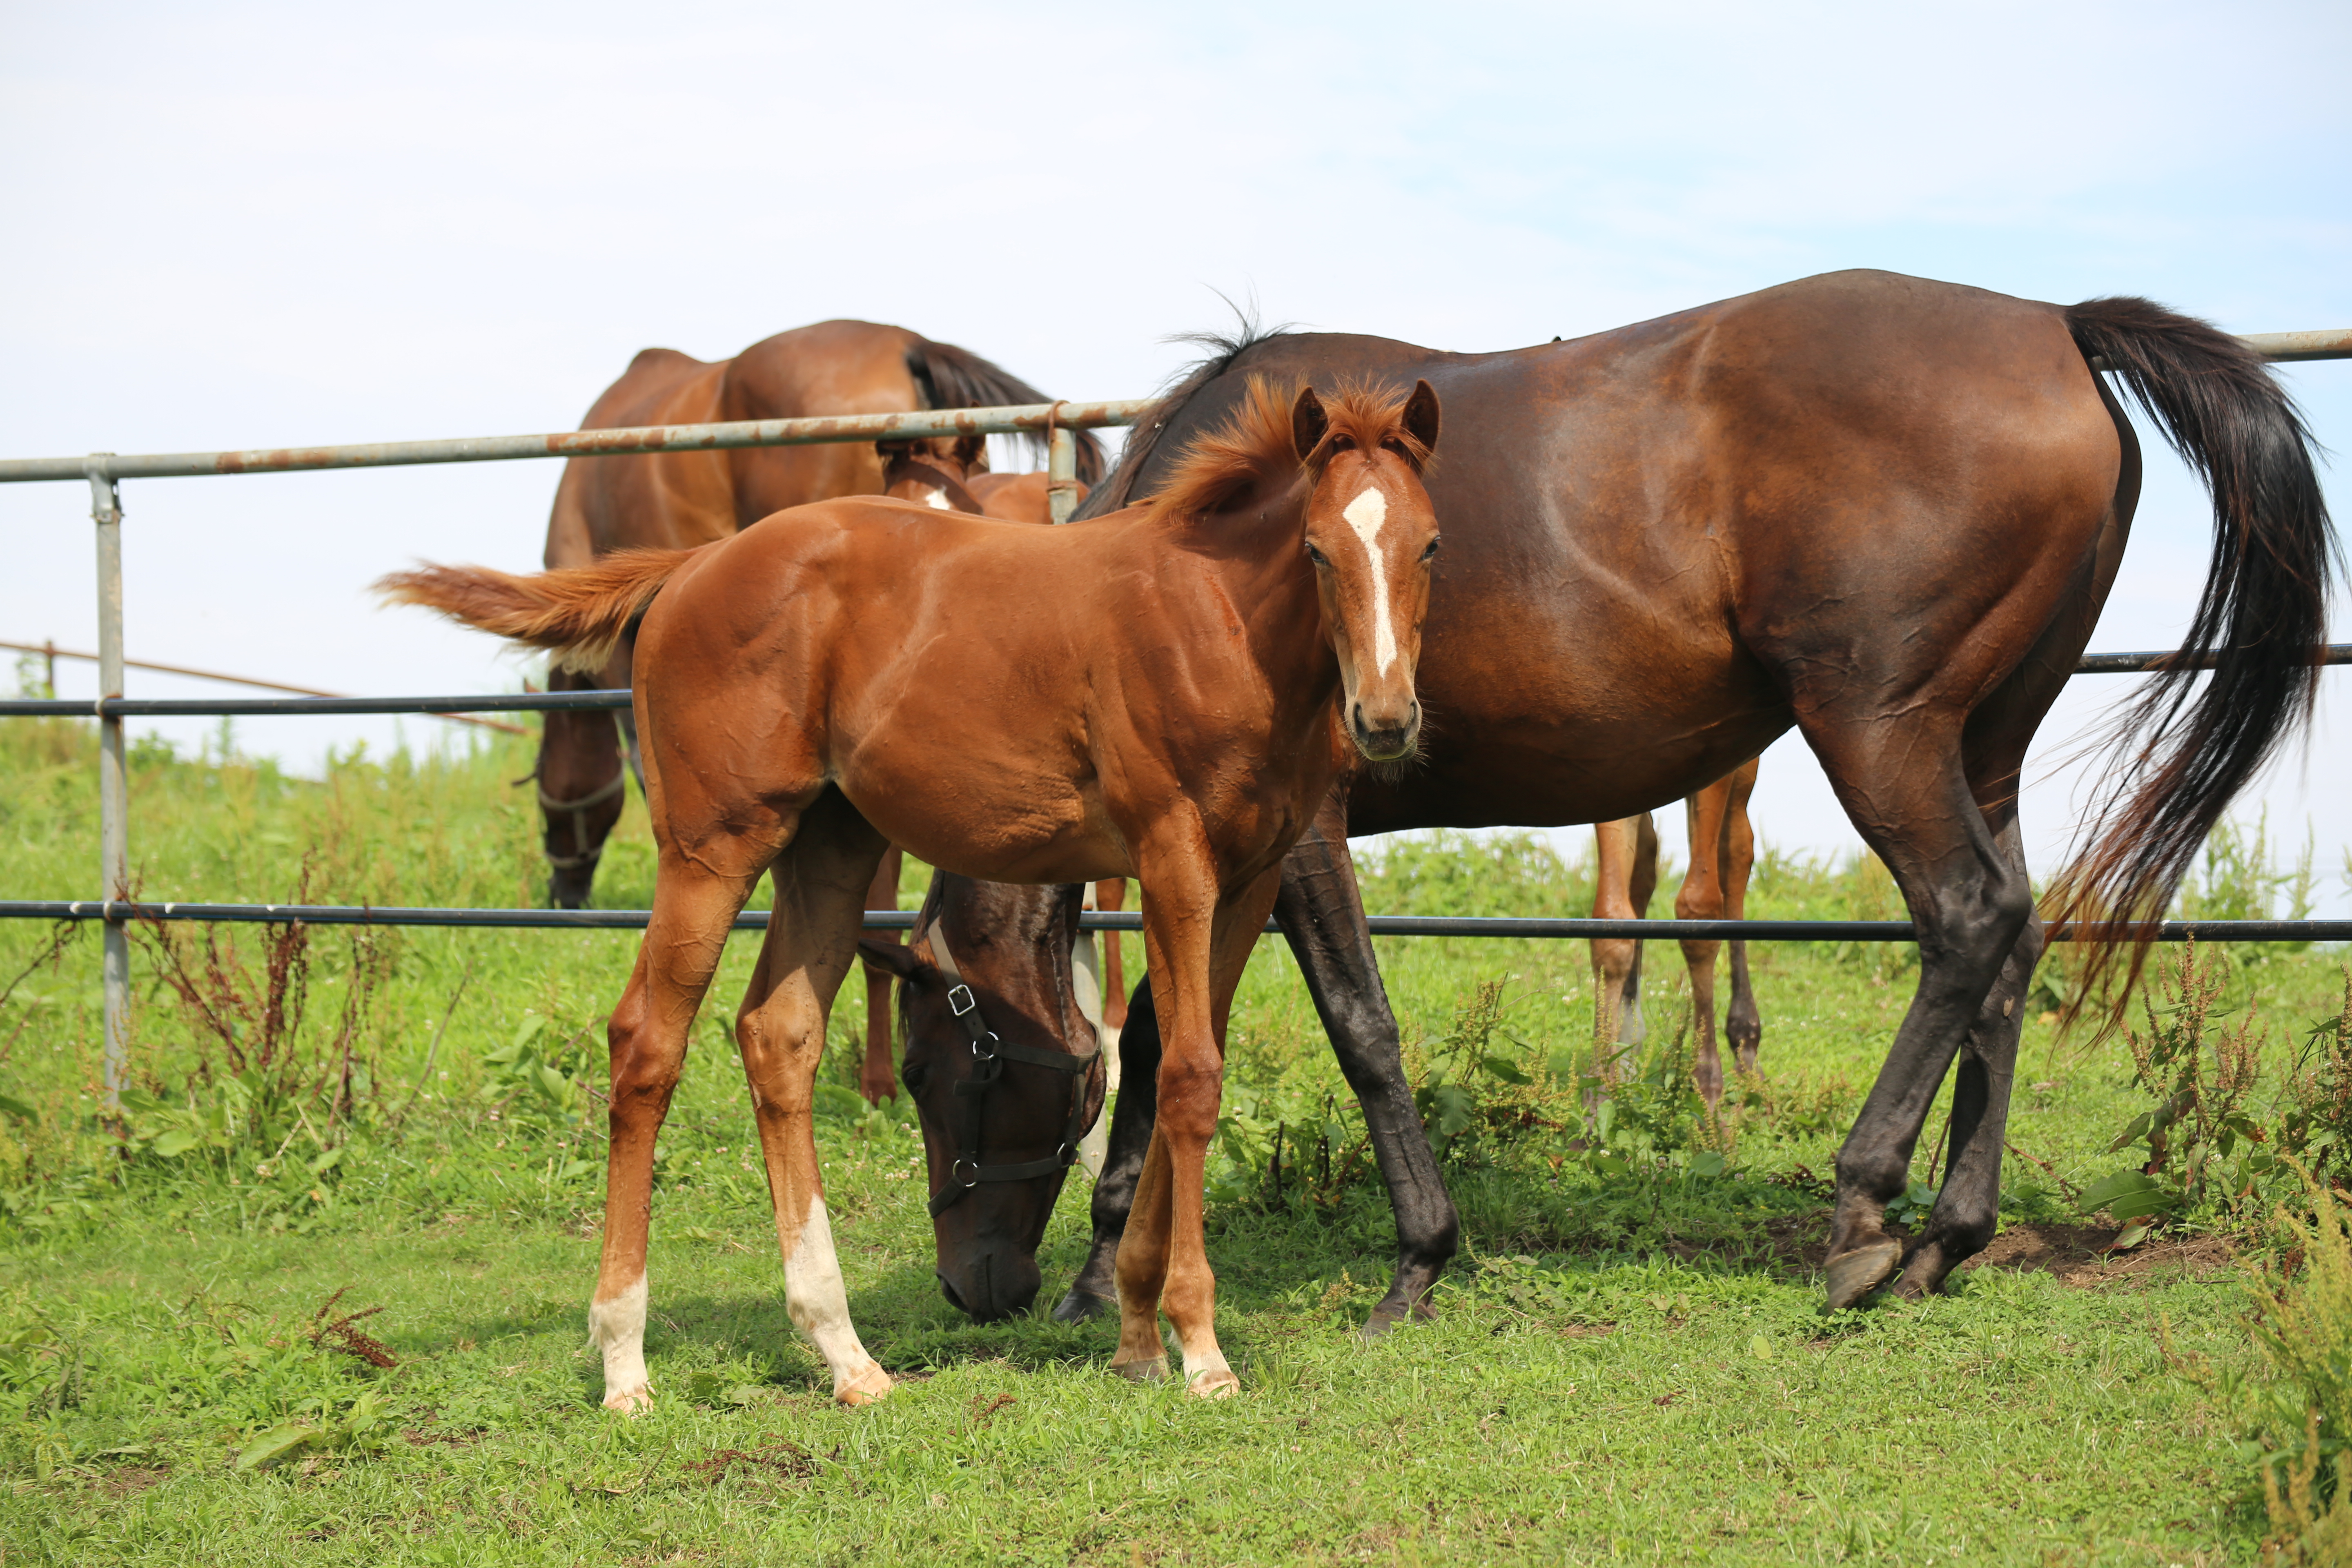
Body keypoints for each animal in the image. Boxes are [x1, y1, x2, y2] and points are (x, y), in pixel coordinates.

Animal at [388, 381, 1449, 1410]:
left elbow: (1185, 1060)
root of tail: (695, 566)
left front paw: (1138, 1339)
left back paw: (847, 1357)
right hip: (710, 846)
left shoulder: (1253, 874)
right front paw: (1198, 1348)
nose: (1386, 718)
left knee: (778, 1035)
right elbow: (1188, 1076)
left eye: (1429, 542)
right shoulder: (1172, 856)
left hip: (831, 843)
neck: (1219, 619)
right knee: (646, 1043)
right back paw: (624, 1365)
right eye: (1316, 549)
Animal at [893, 270, 2333, 1326]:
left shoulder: (1298, 840)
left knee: (1967, 919)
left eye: (933, 1064)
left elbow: (1358, 1027)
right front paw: (1104, 1273)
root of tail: (2054, 326)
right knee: (2015, 940)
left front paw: (1418, 1259)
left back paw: (1865, 1213)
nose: (976, 1290)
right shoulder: (1221, 848)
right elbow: (1157, 1032)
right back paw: (1946, 1238)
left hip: (1882, 731)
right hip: (1982, 745)